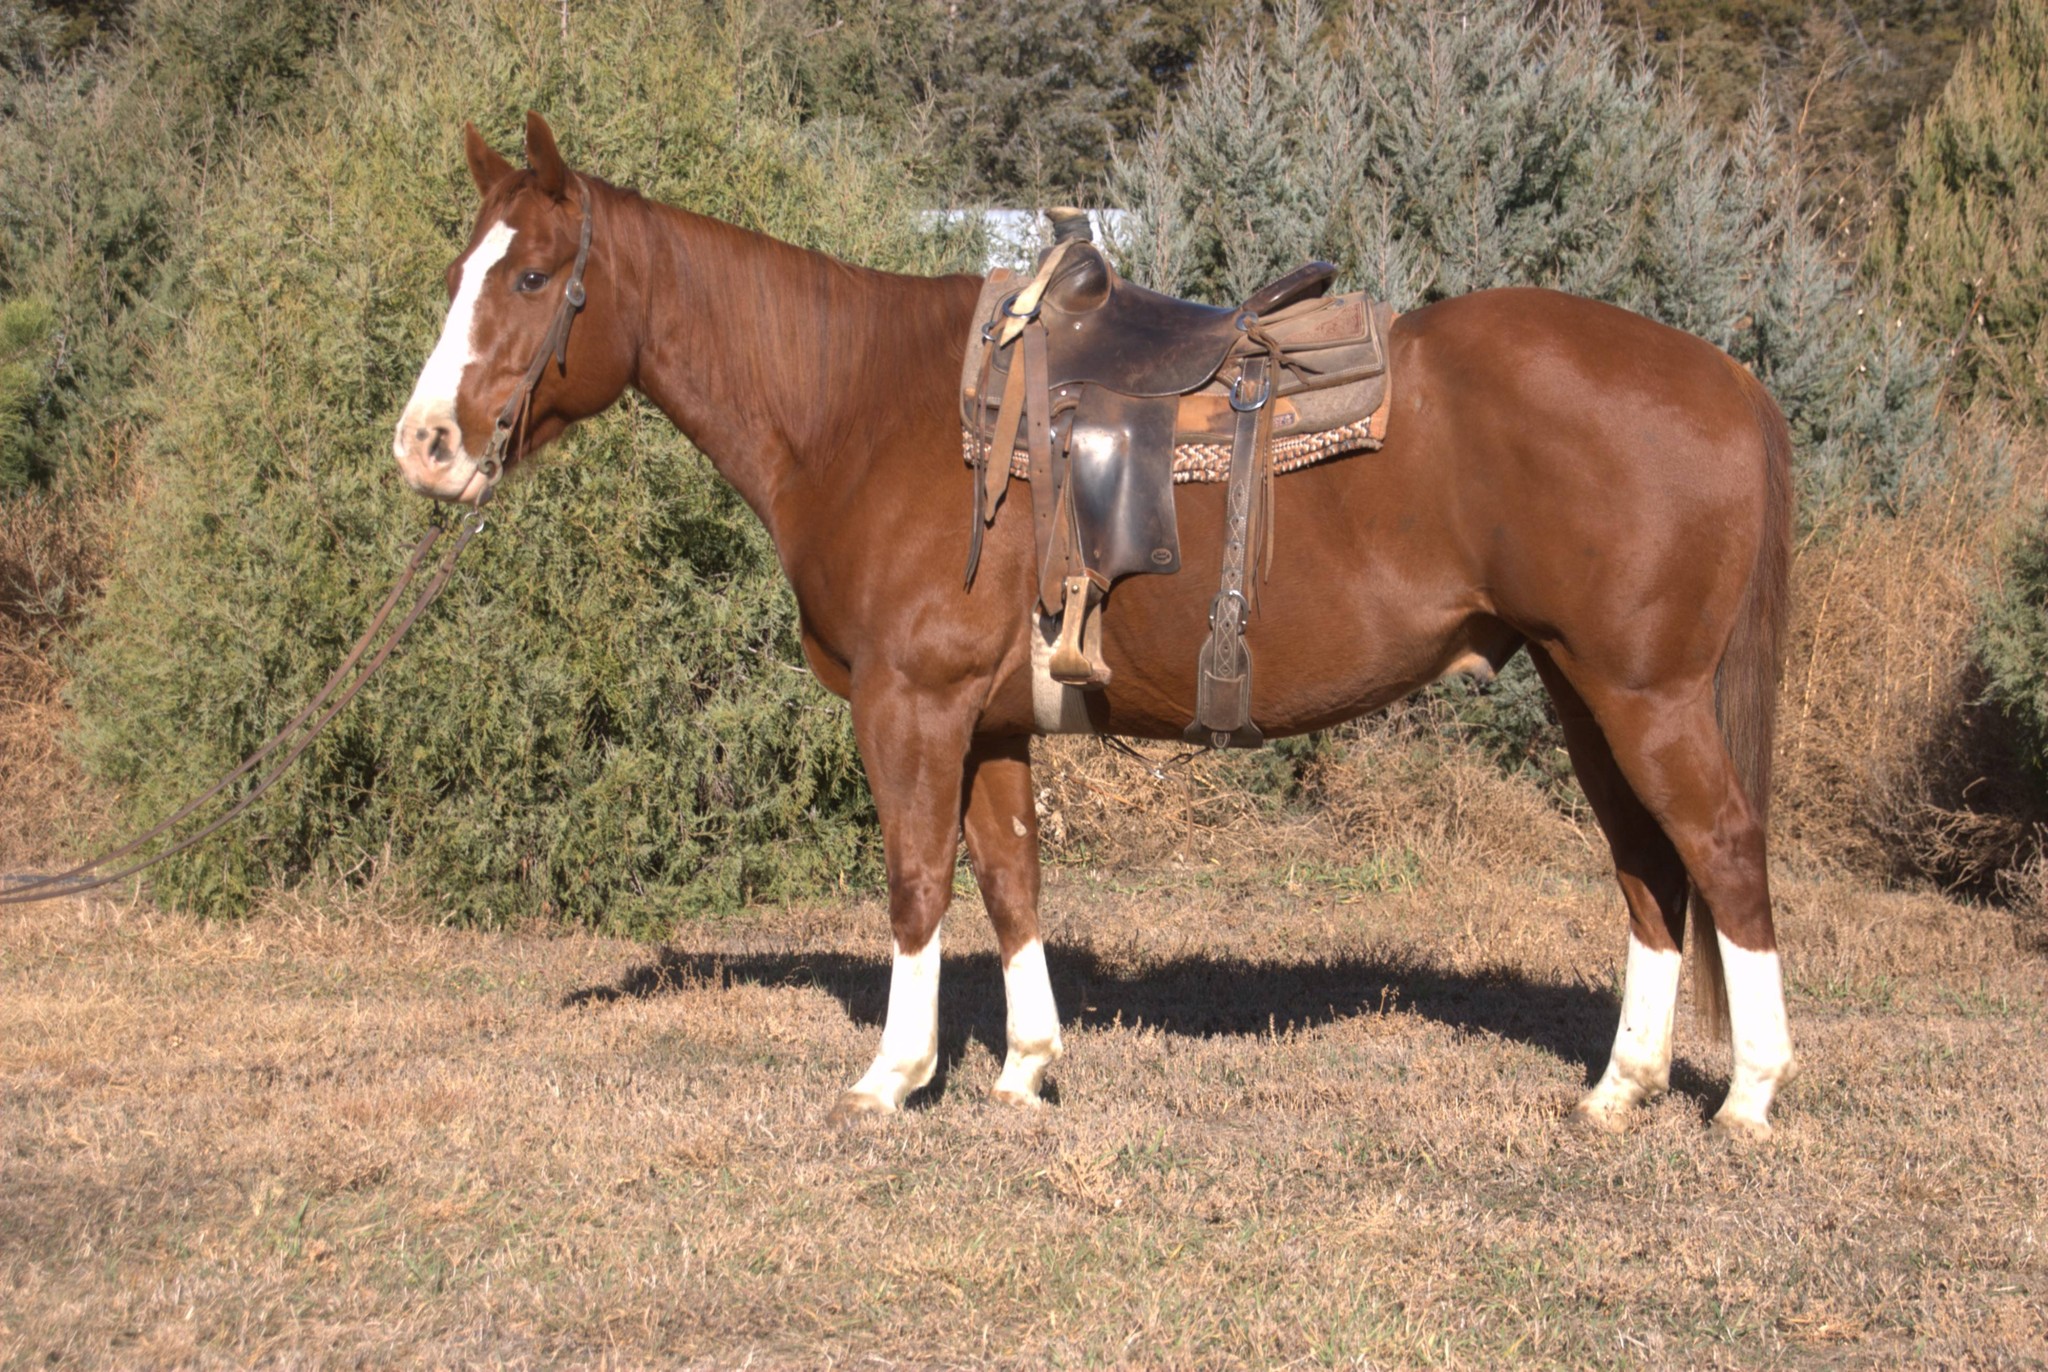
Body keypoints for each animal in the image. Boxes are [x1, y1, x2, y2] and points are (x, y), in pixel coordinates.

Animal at [394, 112, 1797, 1138]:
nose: (425, 446)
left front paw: (893, 1075)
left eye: (533, 275)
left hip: (1644, 695)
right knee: (1647, 867)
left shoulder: (910, 706)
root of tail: (1727, 379)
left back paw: (1750, 1093)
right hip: (1580, 689)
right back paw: (1618, 1088)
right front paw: (1025, 1066)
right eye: (460, 270)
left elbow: (915, 882)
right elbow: (1009, 881)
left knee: (1723, 854)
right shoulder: (992, 722)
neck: (862, 408)